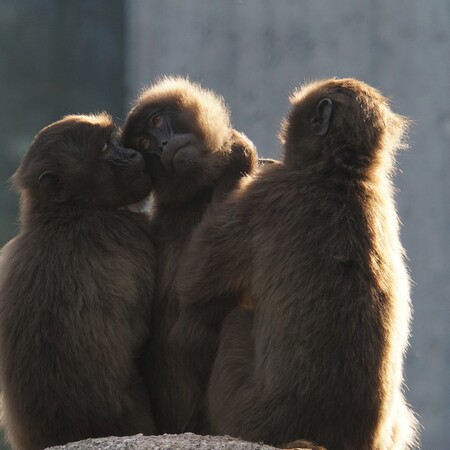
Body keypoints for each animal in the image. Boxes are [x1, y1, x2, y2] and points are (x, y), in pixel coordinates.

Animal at [121, 76, 258, 432]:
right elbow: (191, 313)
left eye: (157, 121)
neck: (197, 192)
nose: (162, 145)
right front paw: (238, 155)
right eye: (143, 142)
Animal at [173, 79, 418, 448]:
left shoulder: (267, 193)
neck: (340, 174)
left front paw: (238, 159)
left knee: (235, 319)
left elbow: (192, 281)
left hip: (245, 413)